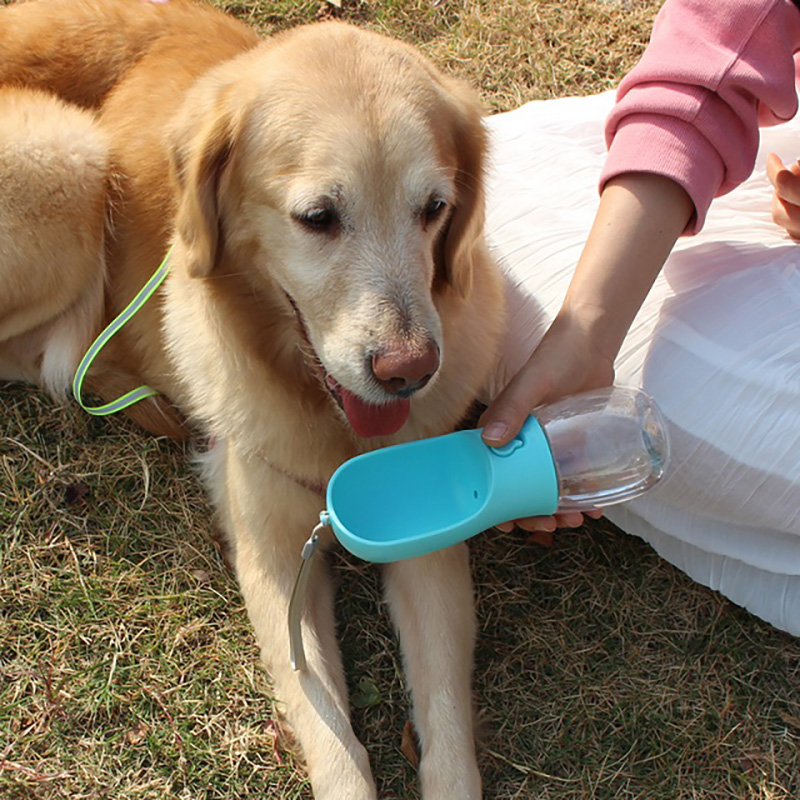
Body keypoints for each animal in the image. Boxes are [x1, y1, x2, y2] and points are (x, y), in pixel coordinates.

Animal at [0, 1, 504, 792]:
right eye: (318, 217)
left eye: (434, 207)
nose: (409, 371)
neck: (327, 423)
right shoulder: (270, 552)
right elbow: (334, 741)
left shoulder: (429, 546)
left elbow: (448, 725)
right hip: (71, 159)